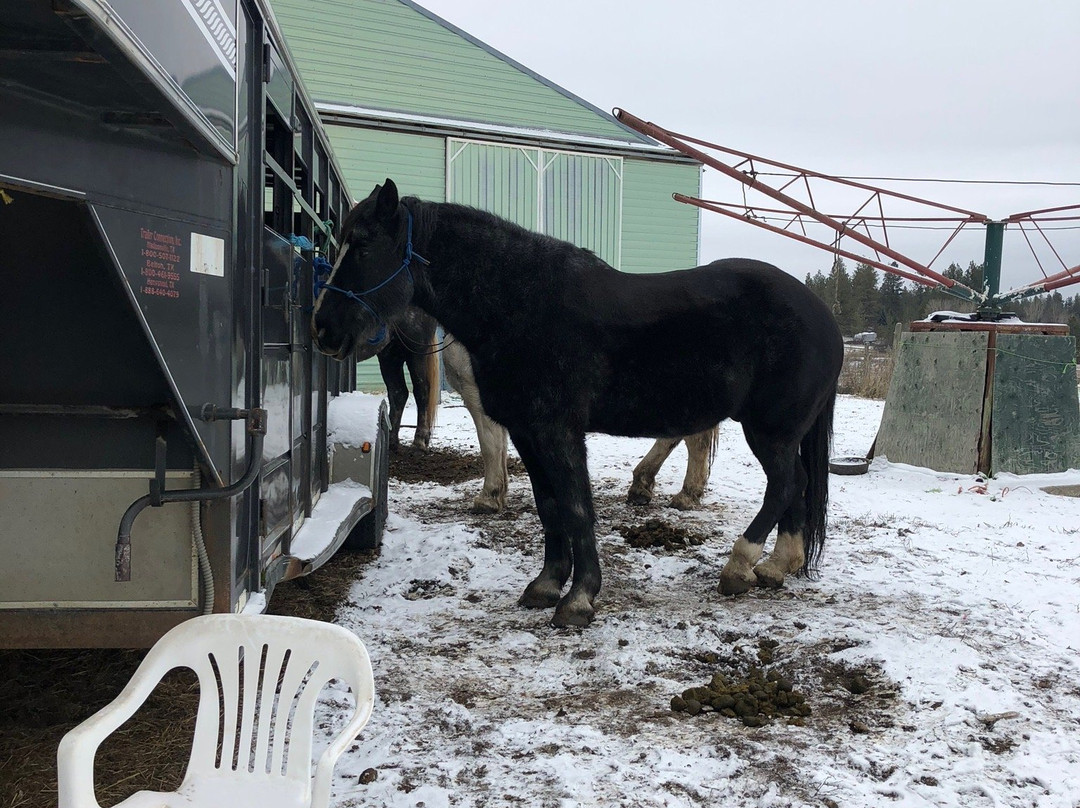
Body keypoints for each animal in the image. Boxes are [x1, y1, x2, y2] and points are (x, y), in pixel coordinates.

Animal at [313, 180, 842, 626]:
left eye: (363, 245)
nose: (323, 329)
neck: (520, 305)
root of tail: (824, 317)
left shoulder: (558, 431)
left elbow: (576, 506)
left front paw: (580, 598)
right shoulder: (526, 432)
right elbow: (549, 506)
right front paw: (547, 585)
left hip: (769, 430)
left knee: (785, 483)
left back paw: (739, 565)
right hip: (779, 433)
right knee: (796, 485)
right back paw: (776, 567)